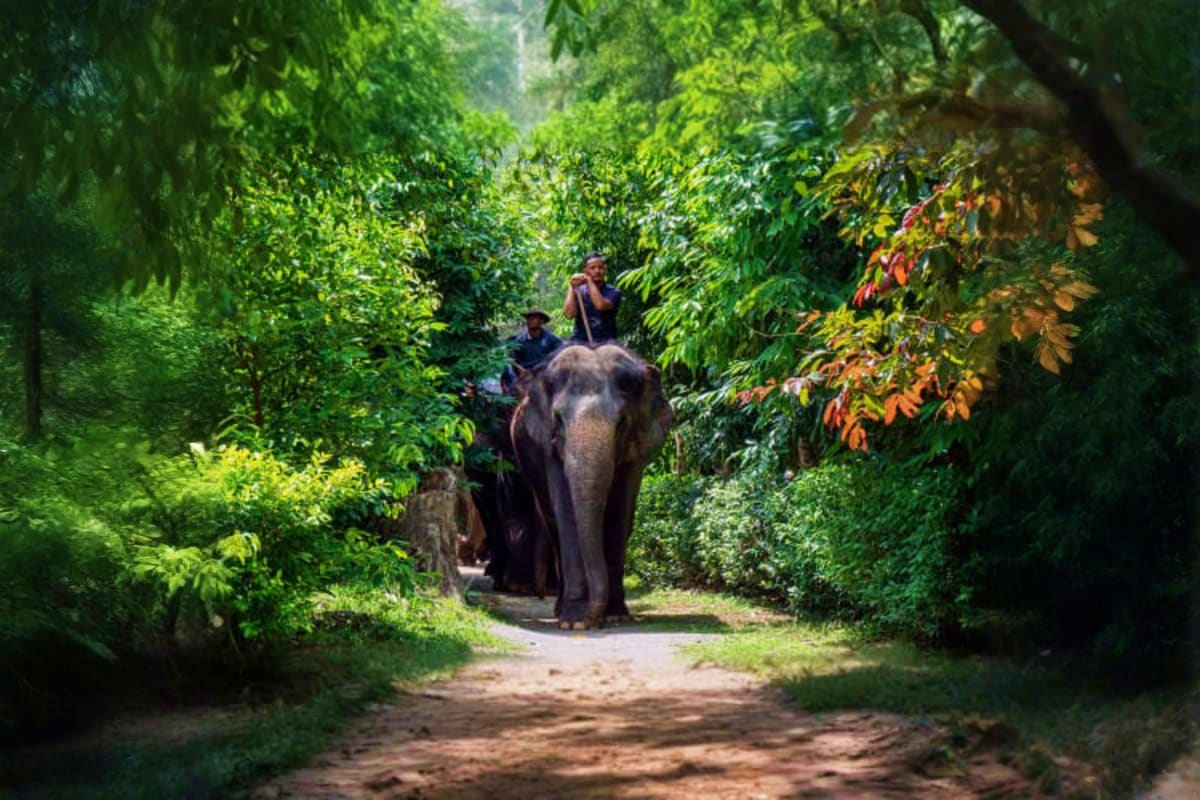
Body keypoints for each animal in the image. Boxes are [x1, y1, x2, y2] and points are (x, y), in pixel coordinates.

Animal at [511, 343, 672, 630]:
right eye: (558, 420)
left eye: (621, 422)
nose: (591, 620)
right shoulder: (548, 447)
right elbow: (565, 510)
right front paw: (574, 622)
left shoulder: (636, 451)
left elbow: (620, 512)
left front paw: (615, 615)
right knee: (553, 524)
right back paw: (560, 610)